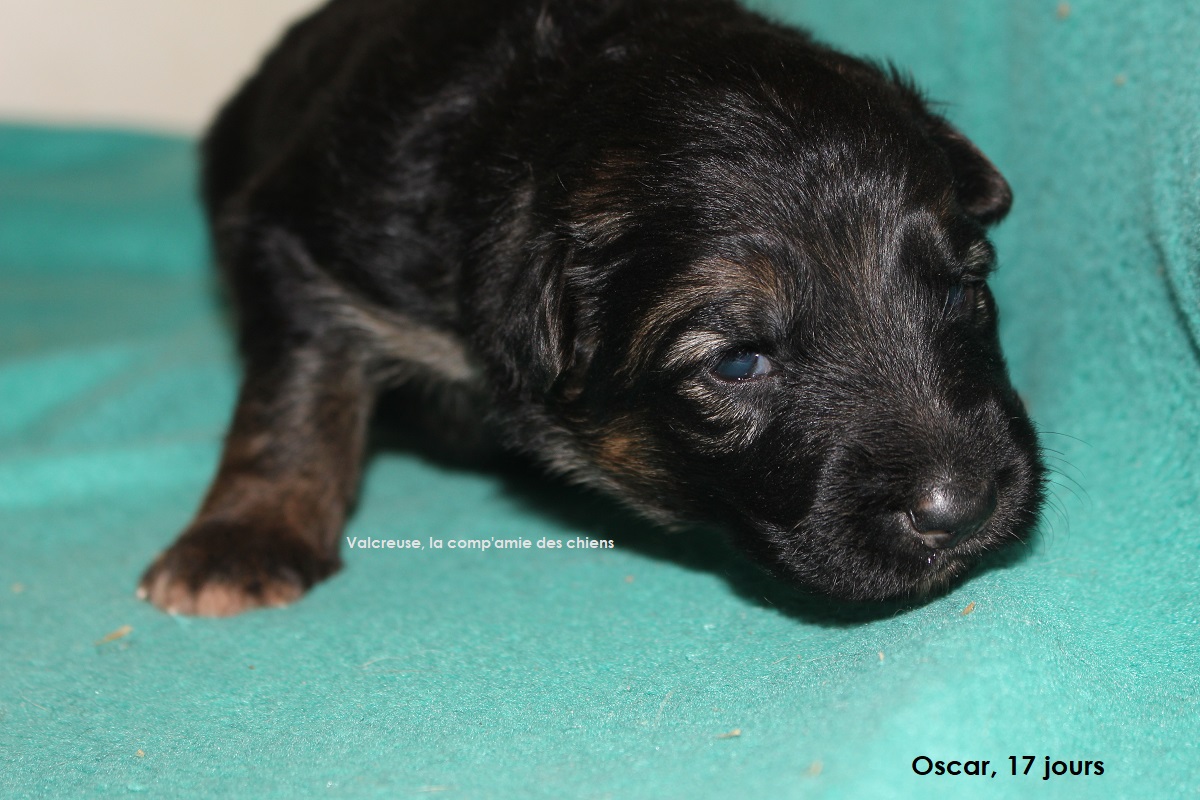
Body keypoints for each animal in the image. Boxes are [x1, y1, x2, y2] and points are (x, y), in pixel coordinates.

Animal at [137, 0, 1045, 616]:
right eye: (737, 361)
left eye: (961, 289)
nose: (962, 509)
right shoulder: (303, 241)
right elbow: (295, 391)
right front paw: (244, 538)